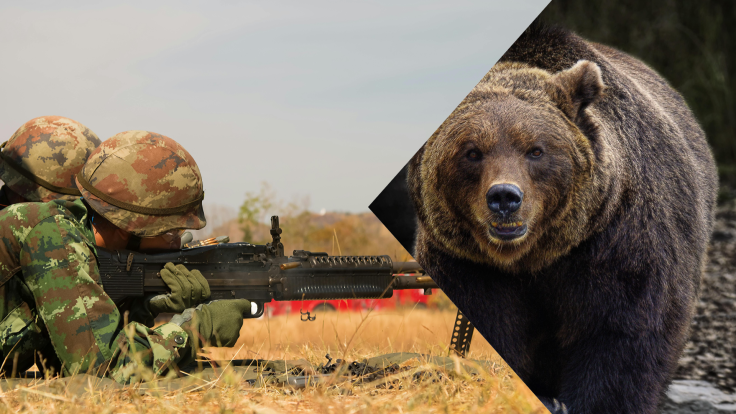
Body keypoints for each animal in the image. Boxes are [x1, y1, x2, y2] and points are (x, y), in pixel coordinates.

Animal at [407, 24, 718, 414]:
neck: (535, 257)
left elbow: (622, 338)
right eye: (472, 152)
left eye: (536, 150)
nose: (505, 198)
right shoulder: (467, 263)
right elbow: (493, 325)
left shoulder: (618, 244)